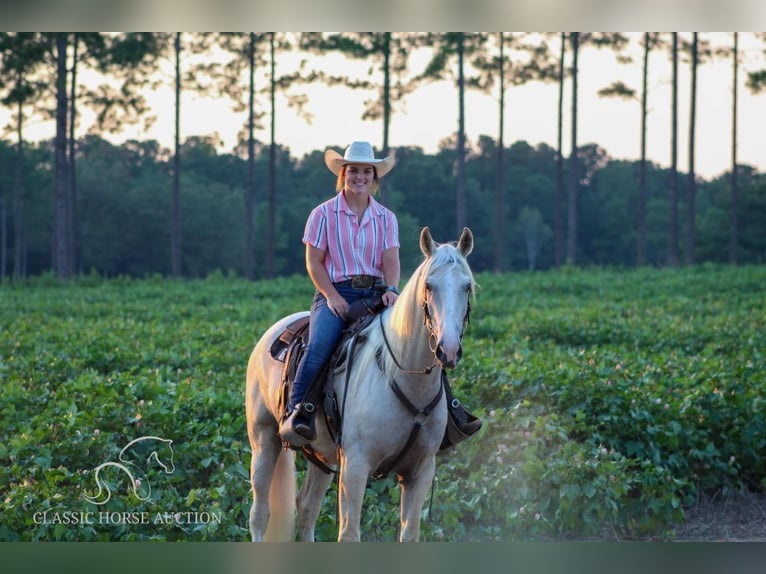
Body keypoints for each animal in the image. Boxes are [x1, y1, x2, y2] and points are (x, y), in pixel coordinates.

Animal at [248, 227, 474, 544]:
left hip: (321, 455)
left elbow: (409, 534)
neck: (403, 375)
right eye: (429, 286)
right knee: (260, 512)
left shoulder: (420, 471)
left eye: (467, 287)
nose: (448, 350)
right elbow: (349, 533)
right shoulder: (355, 466)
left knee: (307, 507)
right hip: (263, 438)